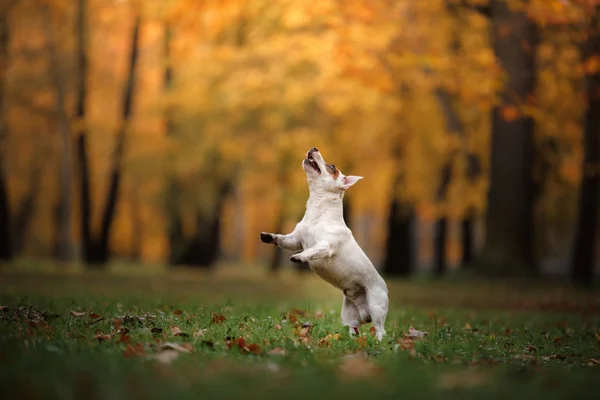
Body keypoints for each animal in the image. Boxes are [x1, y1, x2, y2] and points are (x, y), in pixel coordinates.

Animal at [258, 147, 390, 340]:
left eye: (332, 167)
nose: (314, 148)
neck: (318, 211)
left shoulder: (325, 246)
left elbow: (311, 251)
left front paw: (299, 257)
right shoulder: (295, 239)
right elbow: (283, 239)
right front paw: (269, 237)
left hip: (376, 305)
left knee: (380, 329)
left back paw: (379, 342)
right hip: (349, 314)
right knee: (353, 328)